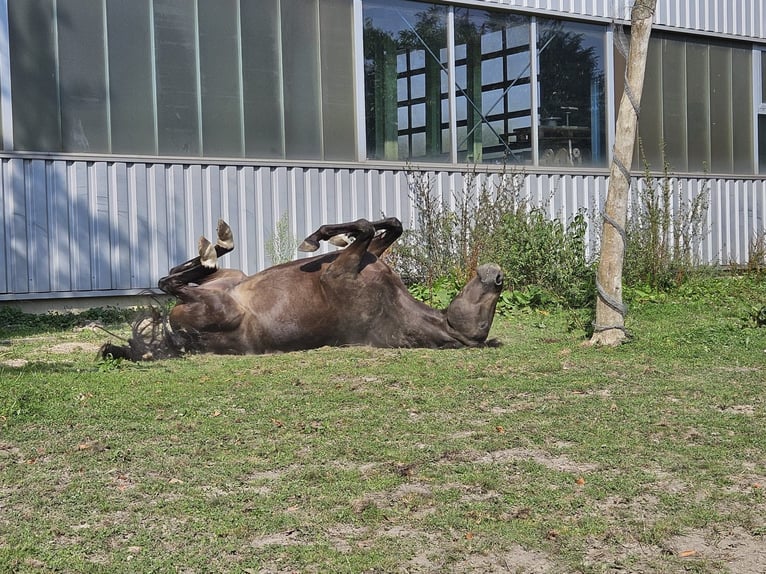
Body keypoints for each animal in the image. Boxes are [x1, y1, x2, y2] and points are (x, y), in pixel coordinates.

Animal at [100, 219, 504, 360]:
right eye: (490, 307)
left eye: (485, 319)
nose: (498, 276)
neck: (396, 308)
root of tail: (185, 338)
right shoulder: (368, 255)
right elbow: (388, 225)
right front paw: (330, 237)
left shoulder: (341, 269)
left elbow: (365, 227)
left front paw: (316, 237)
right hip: (233, 277)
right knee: (178, 274)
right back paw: (215, 246)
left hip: (215, 304)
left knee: (170, 282)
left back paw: (219, 244)